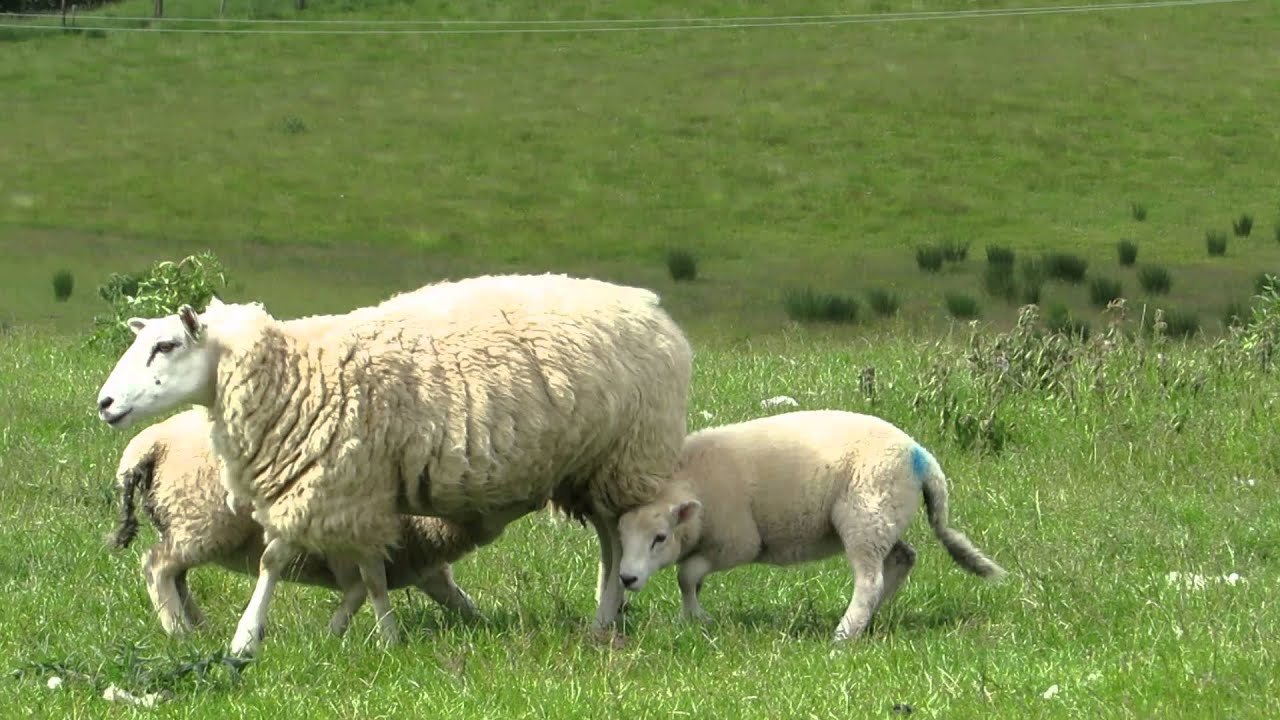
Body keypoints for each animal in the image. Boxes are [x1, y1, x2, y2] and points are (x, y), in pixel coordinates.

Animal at [108, 407, 522, 638]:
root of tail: (149, 443)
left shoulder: (422, 564)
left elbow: (459, 600)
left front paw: (487, 626)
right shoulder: (349, 547)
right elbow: (361, 590)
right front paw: (337, 634)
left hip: (185, 523)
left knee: (177, 576)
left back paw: (201, 627)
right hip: (200, 522)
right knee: (157, 566)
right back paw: (179, 632)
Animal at [615, 410, 1006, 642]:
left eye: (659, 538)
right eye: (621, 536)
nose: (626, 578)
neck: (693, 480)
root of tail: (921, 456)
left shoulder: (737, 542)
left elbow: (687, 575)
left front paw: (698, 617)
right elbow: (690, 581)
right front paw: (691, 618)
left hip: (865, 515)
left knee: (870, 581)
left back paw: (844, 634)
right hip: (882, 517)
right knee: (902, 558)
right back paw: (868, 620)